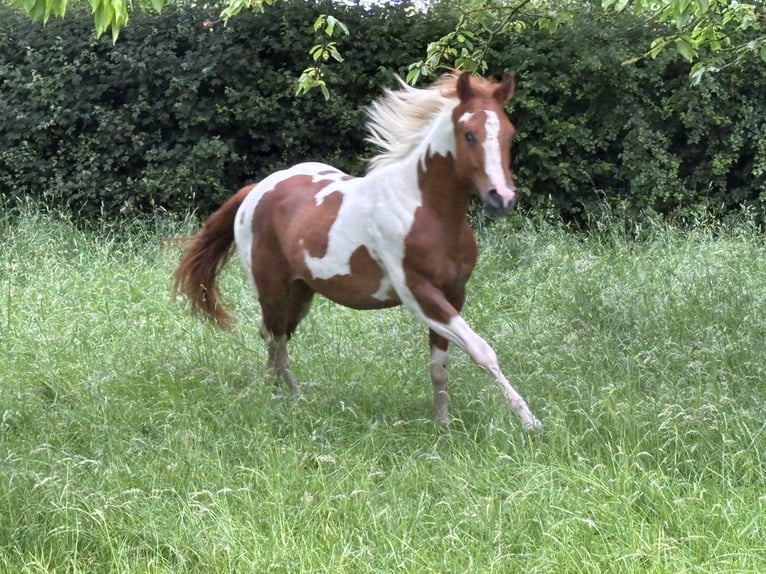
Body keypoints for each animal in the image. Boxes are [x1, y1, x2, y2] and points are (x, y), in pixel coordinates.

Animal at [173, 71, 541, 430]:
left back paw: (292, 397)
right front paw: (530, 421)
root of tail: (255, 190)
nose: (501, 198)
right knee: (274, 338)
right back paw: (276, 398)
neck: (426, 211)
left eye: (509, 133)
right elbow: (482, 351)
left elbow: (439, 365)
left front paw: (443, 425)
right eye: (468, 134)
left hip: (301, 292)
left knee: (276, 338)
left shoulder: (454, 293)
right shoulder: (420, 294)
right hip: (272, 289)